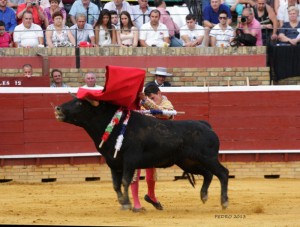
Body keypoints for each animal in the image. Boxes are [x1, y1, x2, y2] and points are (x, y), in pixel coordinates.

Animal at [55, 99, 229, 209]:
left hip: (208, 158)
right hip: (188, 162)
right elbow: (116, 184)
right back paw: (204, 196)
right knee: (208, 174)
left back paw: (224, 202)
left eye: (79, 103)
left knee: (223, 173)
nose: (58, 108)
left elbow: (125, 181)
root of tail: (205, 125)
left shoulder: (130, 161)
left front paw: (127, 203)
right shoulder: (113, 162)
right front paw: (122, 201)